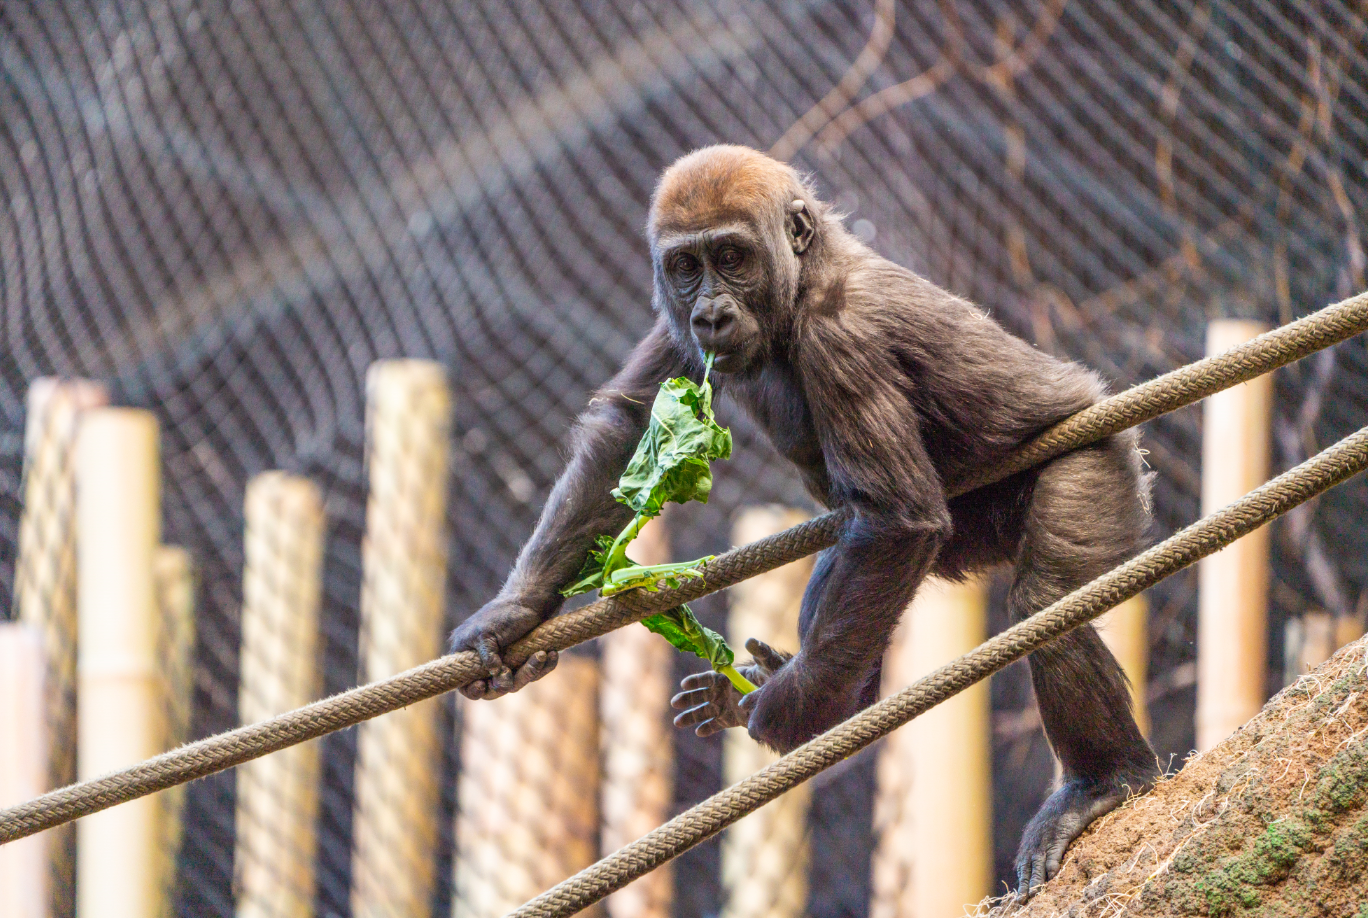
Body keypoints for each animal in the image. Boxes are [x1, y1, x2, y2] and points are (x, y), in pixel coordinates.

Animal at [448, 144, 1159, 894]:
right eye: (686, 267)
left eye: (732, 257)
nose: (709, 314)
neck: (804, 275)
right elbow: (627, 430)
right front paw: (512, 613)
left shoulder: (839, 332)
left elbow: (897, 518)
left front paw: (797, 705)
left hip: (1098, 456)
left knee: (1047, 600)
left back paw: (1101, 782)